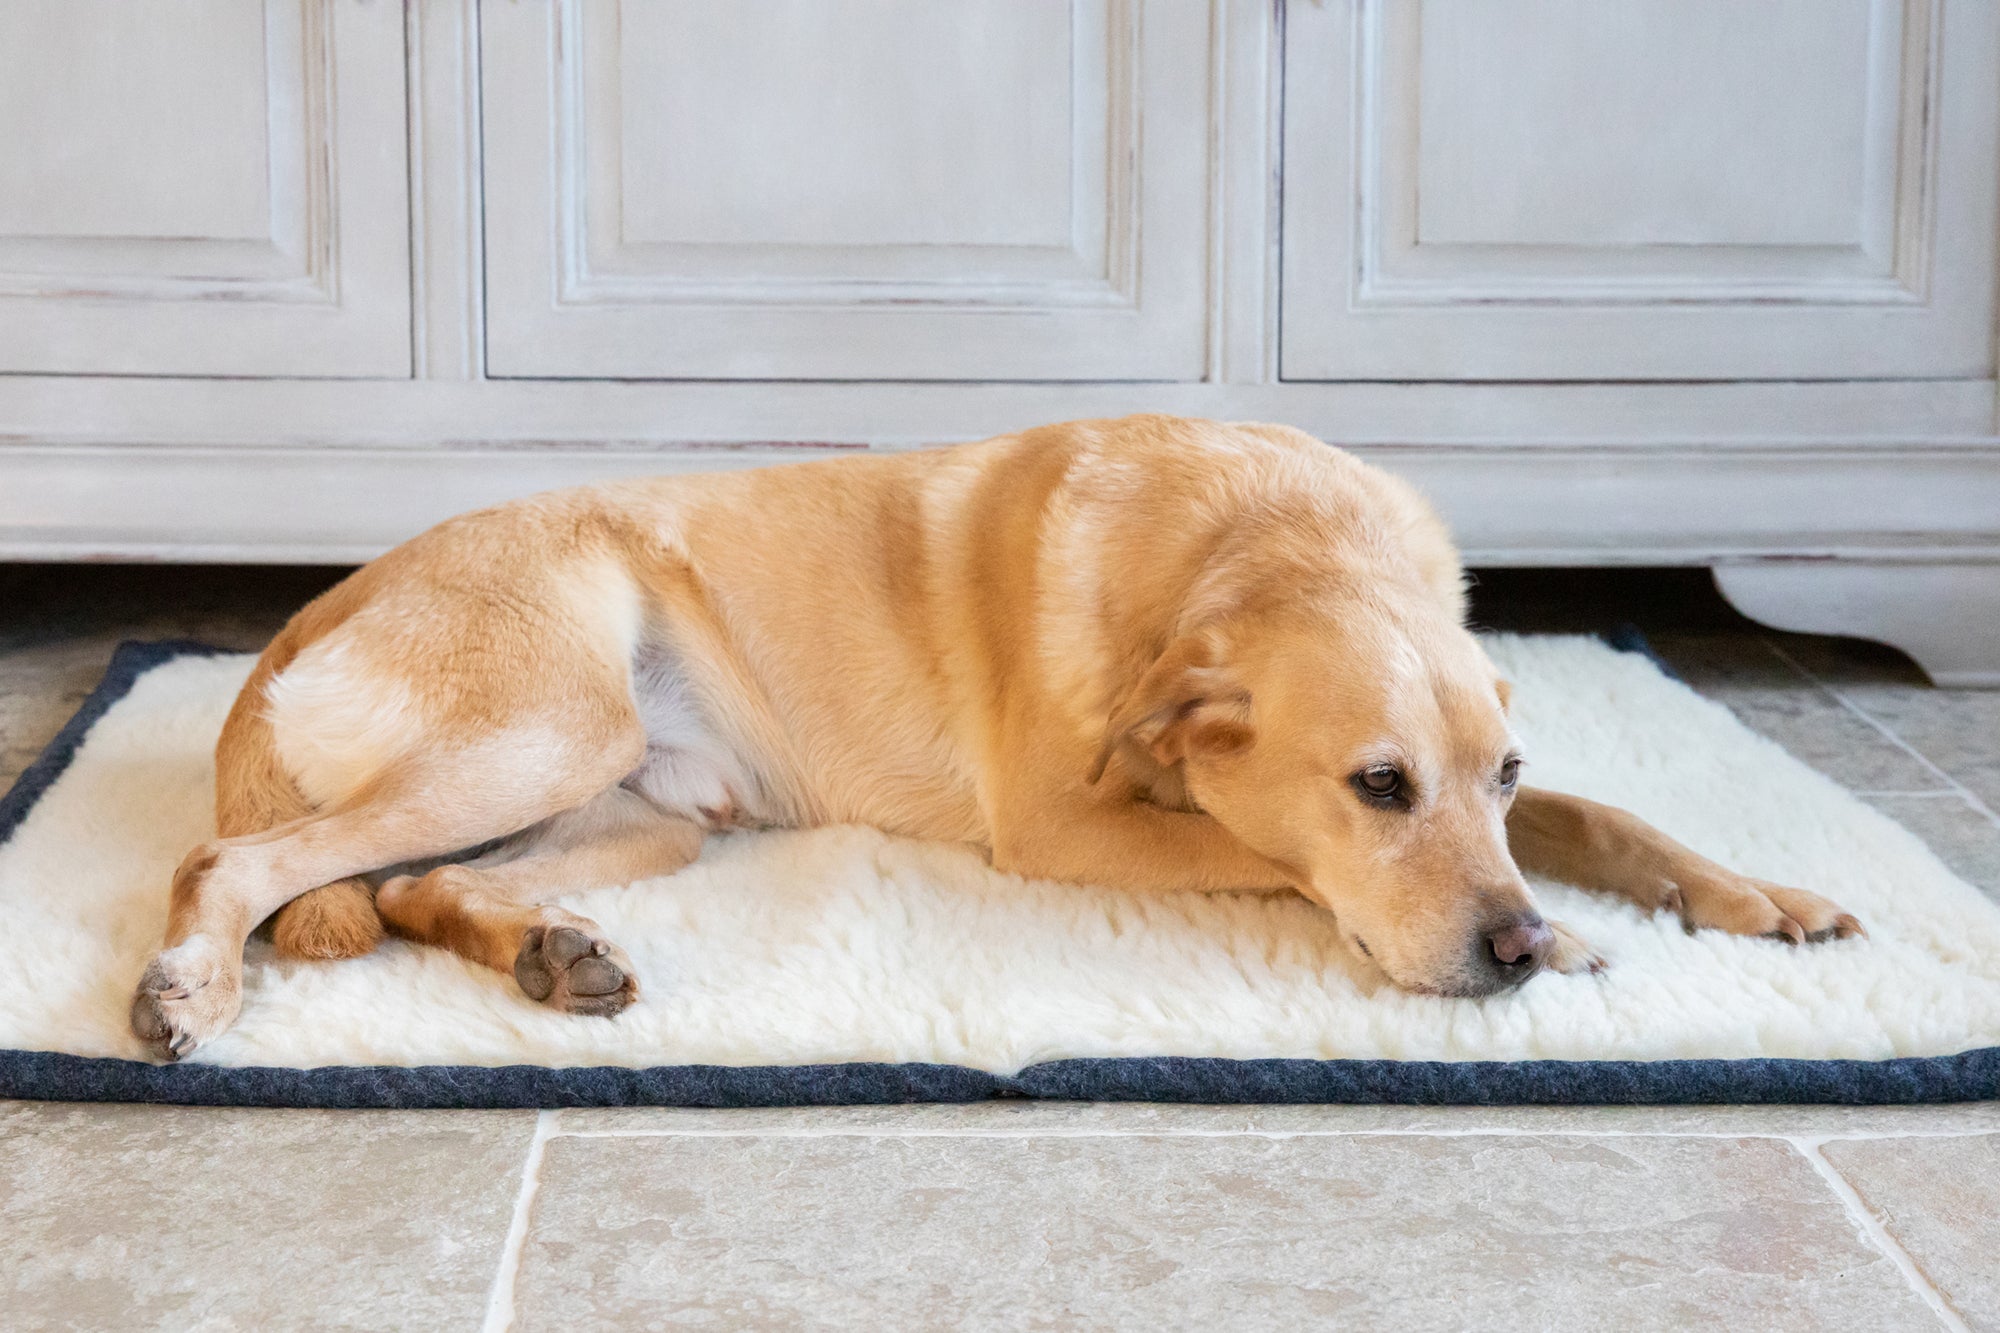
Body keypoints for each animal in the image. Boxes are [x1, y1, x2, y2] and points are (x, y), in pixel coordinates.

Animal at [133, 416, 1864, 1056]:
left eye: (1496, 776)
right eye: (1378, 787)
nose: (1506, 948)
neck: (1255, 546)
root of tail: (328, 595)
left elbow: (1607, 816)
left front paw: (1753, 893)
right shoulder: (1070, 823)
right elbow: (1280, 863)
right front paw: (1571, 936)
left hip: (647, 807)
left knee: (406, 886)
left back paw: (549, 951)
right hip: (546, 729)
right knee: (239, 859)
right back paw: (194, 980)